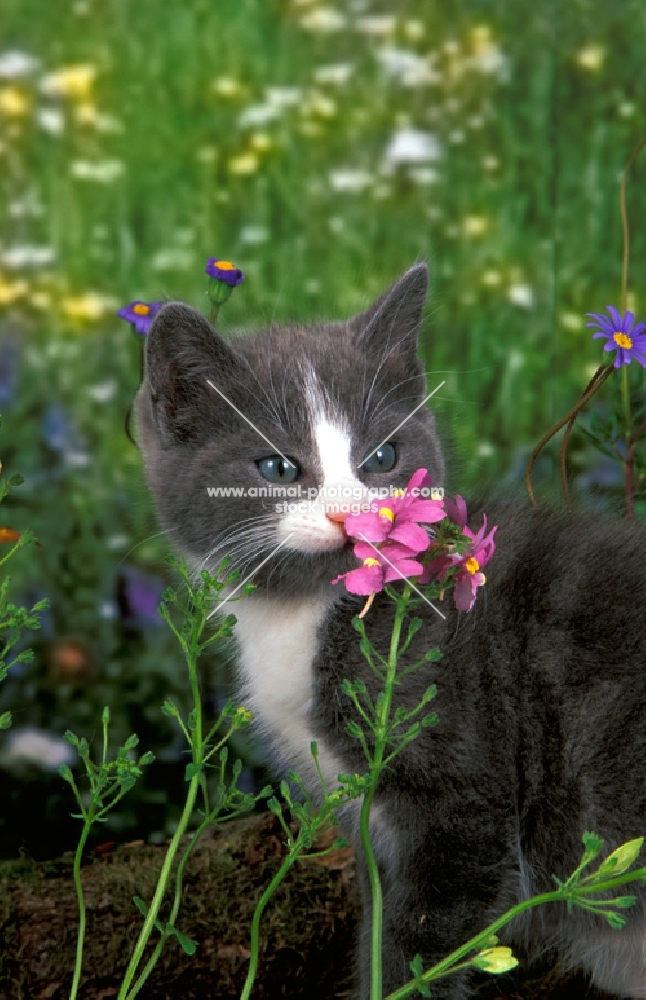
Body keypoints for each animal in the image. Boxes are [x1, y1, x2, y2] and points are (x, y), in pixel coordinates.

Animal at [134, 262, 646, 996]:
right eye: (277, 468)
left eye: (382, 457)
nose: (352, 517)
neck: (308, 612)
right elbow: (381, 917)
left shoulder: (465, 800)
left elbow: (422, 940)